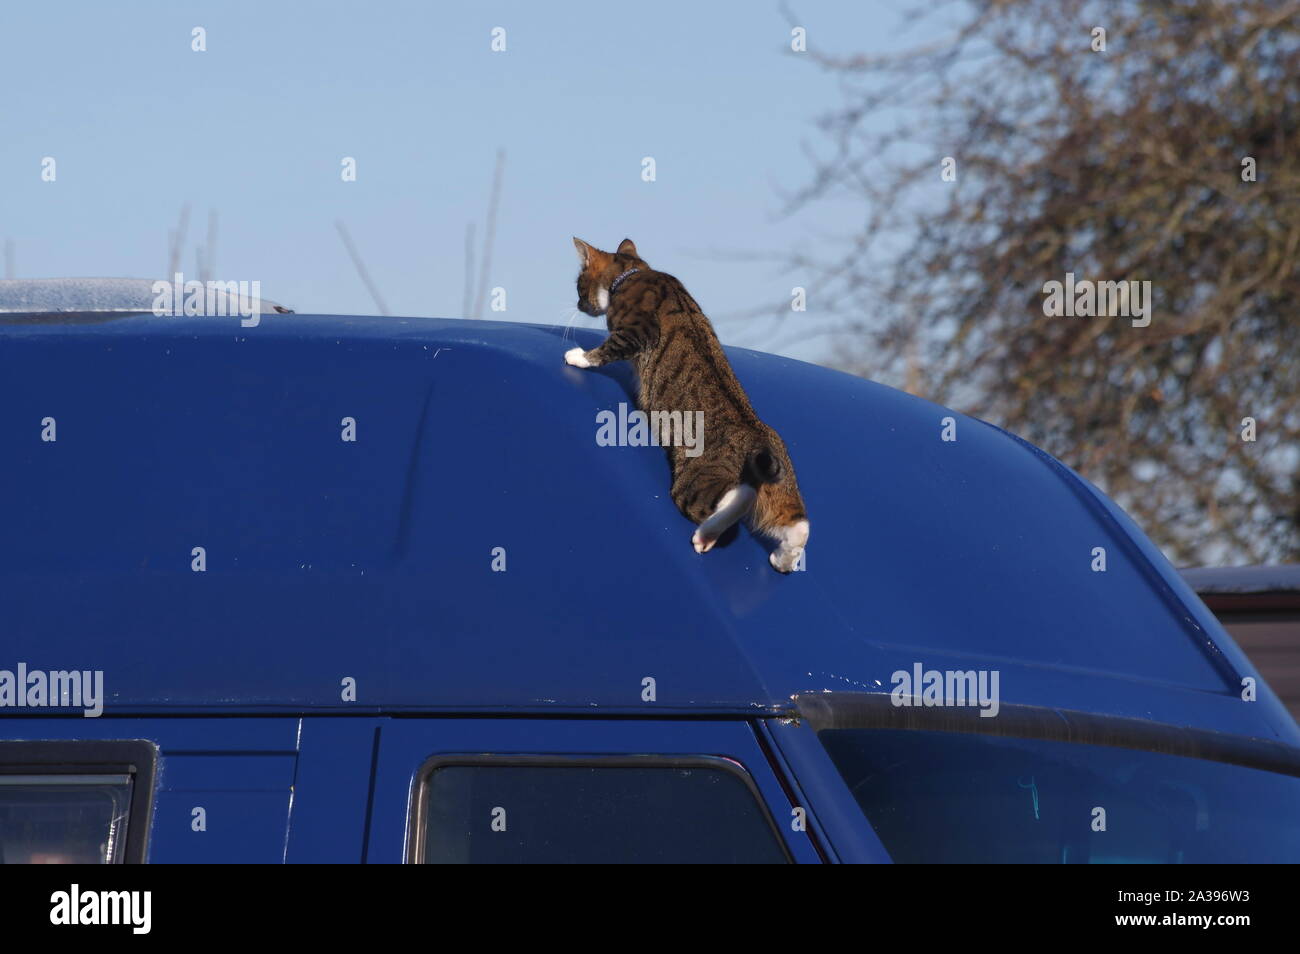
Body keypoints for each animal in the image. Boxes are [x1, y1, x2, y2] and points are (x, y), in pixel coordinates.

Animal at [564, 239, 806, 574]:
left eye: (578, 286)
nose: (577, 305)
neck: (634, 272)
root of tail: (757, 436)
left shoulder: (636, 330)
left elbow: (607, 349)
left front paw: (579, 357)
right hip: (782, 490)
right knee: (798, 526)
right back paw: (784, 559)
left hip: (694, 483)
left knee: (738, 498)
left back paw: (706, 536)